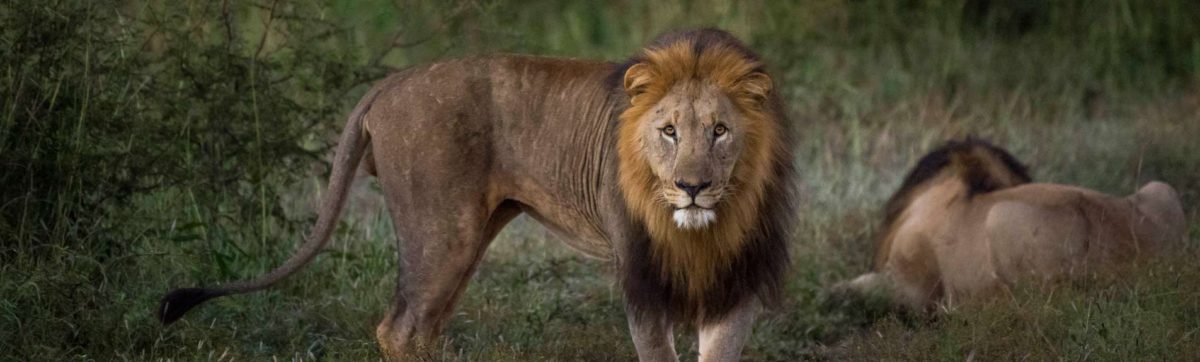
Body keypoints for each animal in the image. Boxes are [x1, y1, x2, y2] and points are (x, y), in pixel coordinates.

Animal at [157, 28, 796, 362]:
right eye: (668, 131)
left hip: (469, 236)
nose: (693, 187)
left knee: (422, 327)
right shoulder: (642, 279)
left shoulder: (740, 280)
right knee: (399, 328)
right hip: (442, 231)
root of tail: (392, 80)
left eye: (720, 130)